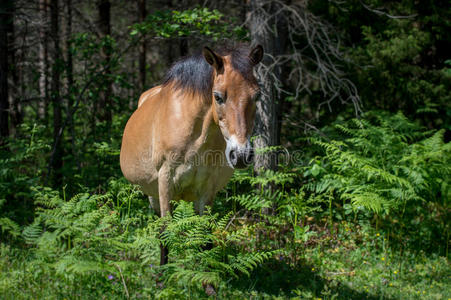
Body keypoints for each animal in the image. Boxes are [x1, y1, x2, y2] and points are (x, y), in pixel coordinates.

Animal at [120, 43, 264, 264]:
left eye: (257, 96)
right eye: (218, 96)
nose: (240, 155)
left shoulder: (207, 189)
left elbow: (205, 237)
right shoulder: (165, 182)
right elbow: (165, 233)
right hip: (153, 194)